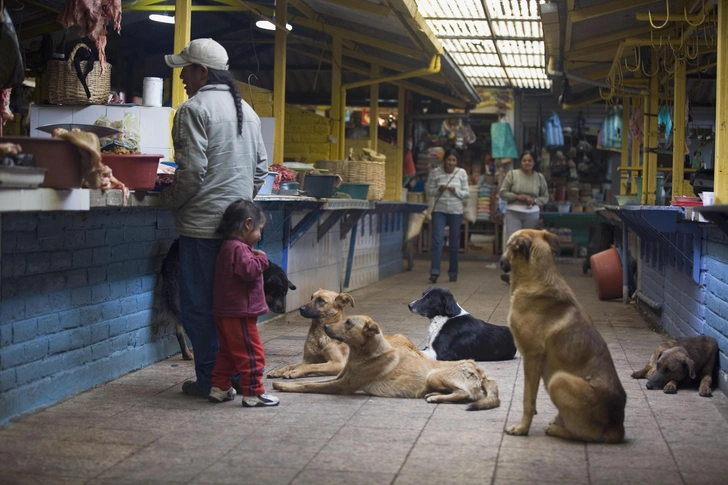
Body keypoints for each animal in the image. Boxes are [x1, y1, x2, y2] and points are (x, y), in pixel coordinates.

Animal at [155, 239, 298, 360]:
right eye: (277, 292)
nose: (283, 310)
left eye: (284, 293)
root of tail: (173, 254)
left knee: (179, 328)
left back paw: (187, 354)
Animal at [272, 314, 500, 408]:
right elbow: (310, 379)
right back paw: (436, 395)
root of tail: (480, 371)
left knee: (465, 394)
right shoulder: (338, 377)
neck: (362, 354)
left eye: (348, 322)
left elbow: (308, 384)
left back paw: (436, 398)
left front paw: (284, 386)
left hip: (435, 376)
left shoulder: (342, 385)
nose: (326, 327)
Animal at [500, 229, 624, 440]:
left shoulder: (532, 357)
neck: (537, 277)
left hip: (558, 380)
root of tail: (618, 426)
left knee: (588, 434)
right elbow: (531, 397)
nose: (501, 261)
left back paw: (557, 429)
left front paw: (523, 428)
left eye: (508, 245)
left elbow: (527, 399)